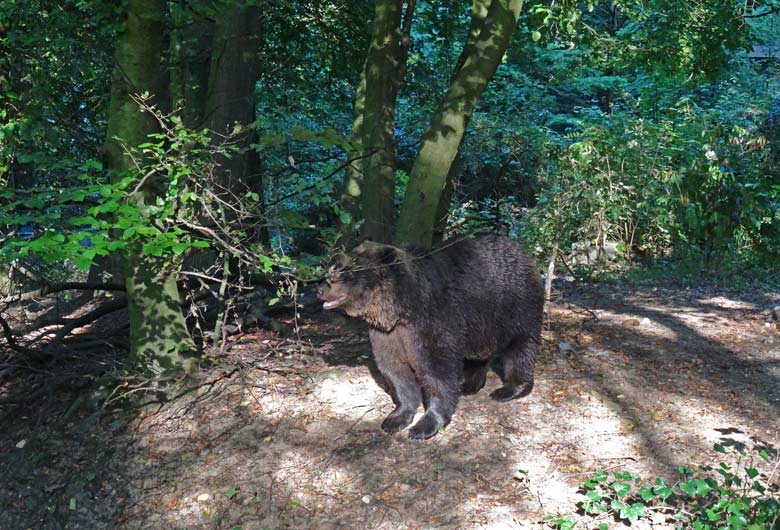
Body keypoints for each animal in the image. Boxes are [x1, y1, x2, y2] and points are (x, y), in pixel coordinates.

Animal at [316, 234, 544, 438]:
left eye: (344, 273)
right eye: (334, 268)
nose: (319, 289)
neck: (400, 309)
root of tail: (522, 252)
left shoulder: (432, 322)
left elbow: (437, 372)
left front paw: (425, 426)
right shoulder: (388, 334)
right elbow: (396, 371)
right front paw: (395, 418)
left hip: (515, 305)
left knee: (520, 346)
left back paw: (509, 389)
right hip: (480, 326)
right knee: (480, 353)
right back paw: (469, 384)